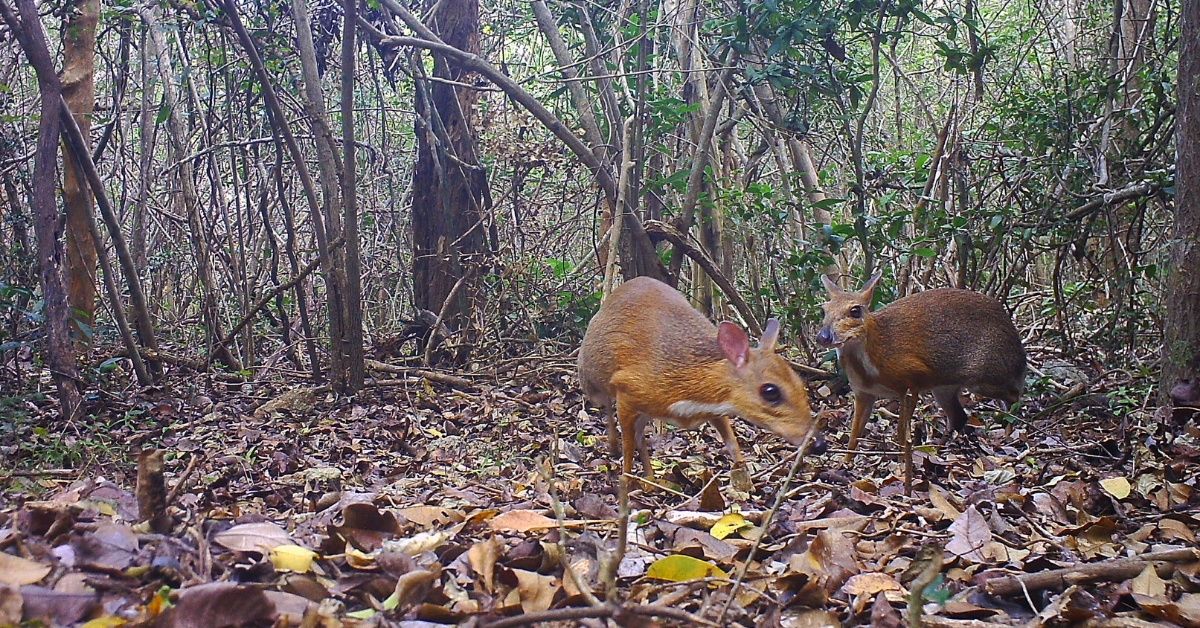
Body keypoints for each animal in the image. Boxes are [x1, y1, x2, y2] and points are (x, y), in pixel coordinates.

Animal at [578, 277, 816, 489]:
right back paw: (614, 448)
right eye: (770, 391)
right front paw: (626, 482)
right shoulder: (626, 387)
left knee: (639, 434)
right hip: (592, 381)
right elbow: (628, 447)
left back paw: (651, 480)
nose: (819, 443)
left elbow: (732, 443)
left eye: (799, 382)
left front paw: (746, 481)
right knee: (609, 409)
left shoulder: (716, 409)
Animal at [820, 273, 1027, 461]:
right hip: (944, 387)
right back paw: (938, 448)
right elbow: (854, 435)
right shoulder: (863, 393)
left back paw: (1009, 434)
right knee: (959, 417)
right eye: (824, 310)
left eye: (855, 310)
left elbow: (901, 431)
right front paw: (845, 463)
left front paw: (901, 460)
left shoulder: (913, 379)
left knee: (1015, 396)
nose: (823, 336)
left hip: (987, 376)